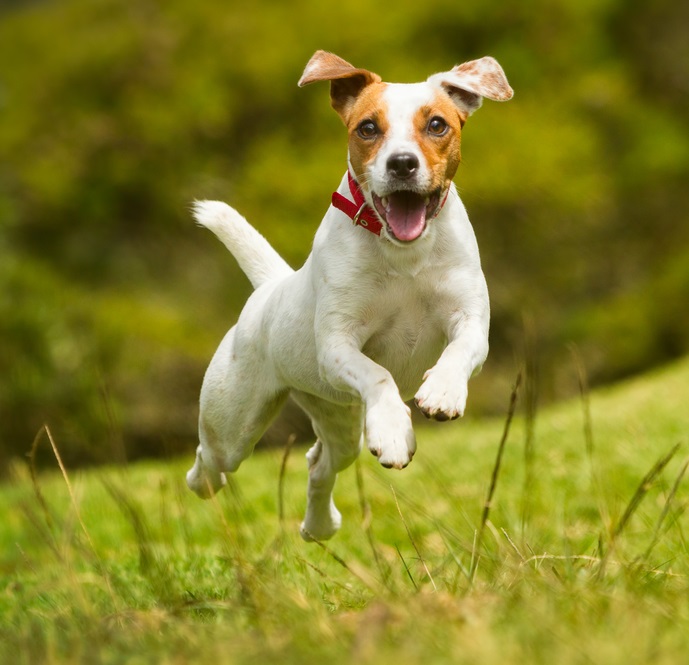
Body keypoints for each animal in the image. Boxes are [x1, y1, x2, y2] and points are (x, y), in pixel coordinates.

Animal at [187, 50, 510, 540]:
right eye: (368, 128)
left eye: (437, 124)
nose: (401, 163)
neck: (403, 254)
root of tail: (270, 287)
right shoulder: (338, 346)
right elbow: (378, 375)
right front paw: (394, 430)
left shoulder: (470, 319)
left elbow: (459, 350)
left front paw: (442, 392)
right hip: (234, 422)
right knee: (211, 460)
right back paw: (204, 482)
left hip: (337, 417)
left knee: (319, 462)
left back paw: (319, 525)